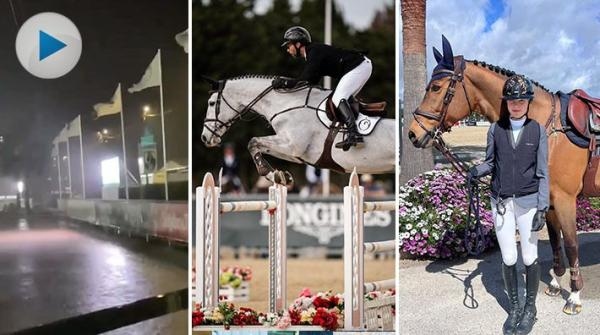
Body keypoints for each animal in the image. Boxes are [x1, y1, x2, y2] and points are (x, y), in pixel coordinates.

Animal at [202, 75, 396, 185]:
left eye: (211, 103)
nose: (205, 138)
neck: (287, 104)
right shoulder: (297, 154)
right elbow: (258, 145)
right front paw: (280, 175)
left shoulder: (292, 146)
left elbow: (253, 142)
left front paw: (271, 175)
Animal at [408, 36, 592, 316]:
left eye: (436, 87)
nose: (412, 133)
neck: (548, 128)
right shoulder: (548, 201)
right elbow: (554, 239)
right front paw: (554, 284)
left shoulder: (564, 199)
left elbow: (570, 243)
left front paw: (573, 296)